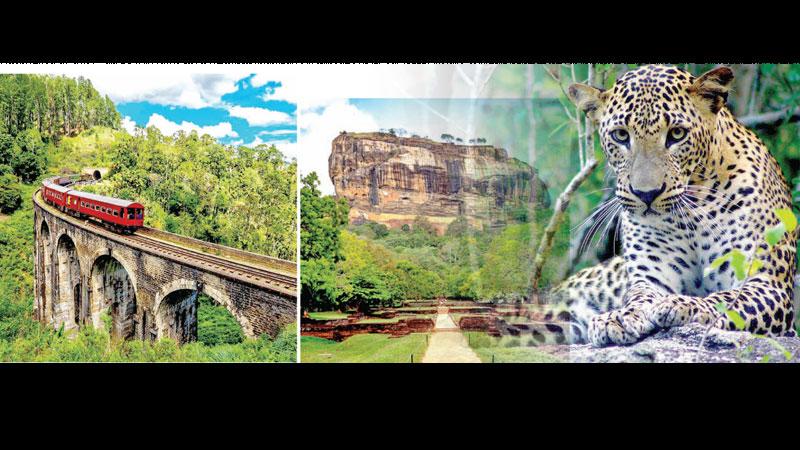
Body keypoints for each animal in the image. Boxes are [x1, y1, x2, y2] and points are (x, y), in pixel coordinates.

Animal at [540, 65, 796, 348]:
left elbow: (726, 300)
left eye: (677, 134)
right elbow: (639, 296)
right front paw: (618, 317)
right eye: (621, 135)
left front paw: (683, 305)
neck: (693, 214)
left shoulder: (767, 283)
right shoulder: (651, 276)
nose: (646, 194)